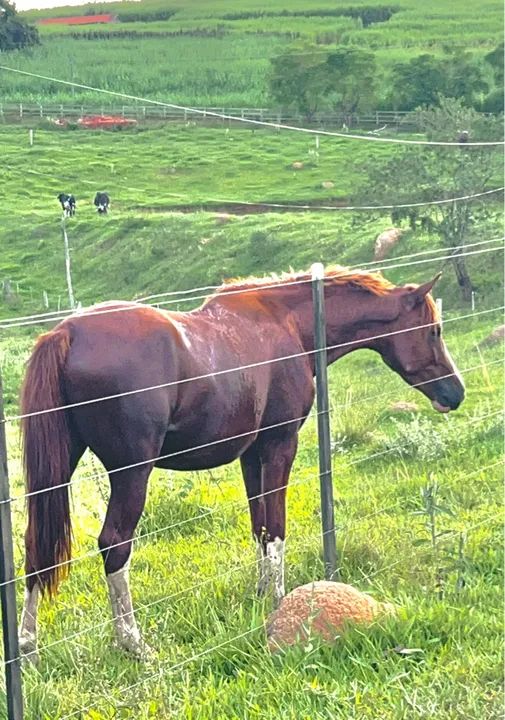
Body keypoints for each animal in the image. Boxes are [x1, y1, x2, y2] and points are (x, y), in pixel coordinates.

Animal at [18, 267, 464, 663]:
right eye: (434, 330)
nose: (455, 393)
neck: (289, 324)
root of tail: (66, 333)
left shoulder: (252, 455)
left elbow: (260, 527)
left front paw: (261, 596)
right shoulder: (280, 445)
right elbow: (277, 527)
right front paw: (279, 598)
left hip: (58, 470)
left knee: (37, 546)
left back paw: (27, 647)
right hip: (132, 474)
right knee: (114, 545)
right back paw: (133, 644)